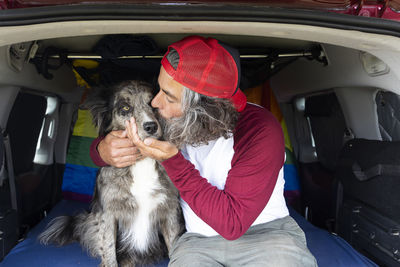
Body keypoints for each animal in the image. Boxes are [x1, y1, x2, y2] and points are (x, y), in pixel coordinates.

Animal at [38, 81, 185, 267]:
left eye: (153, 104)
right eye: (125, 107)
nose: (151, 126)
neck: (141, 160)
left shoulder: (170, 210)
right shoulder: (107, 214)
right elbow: (108, 250)